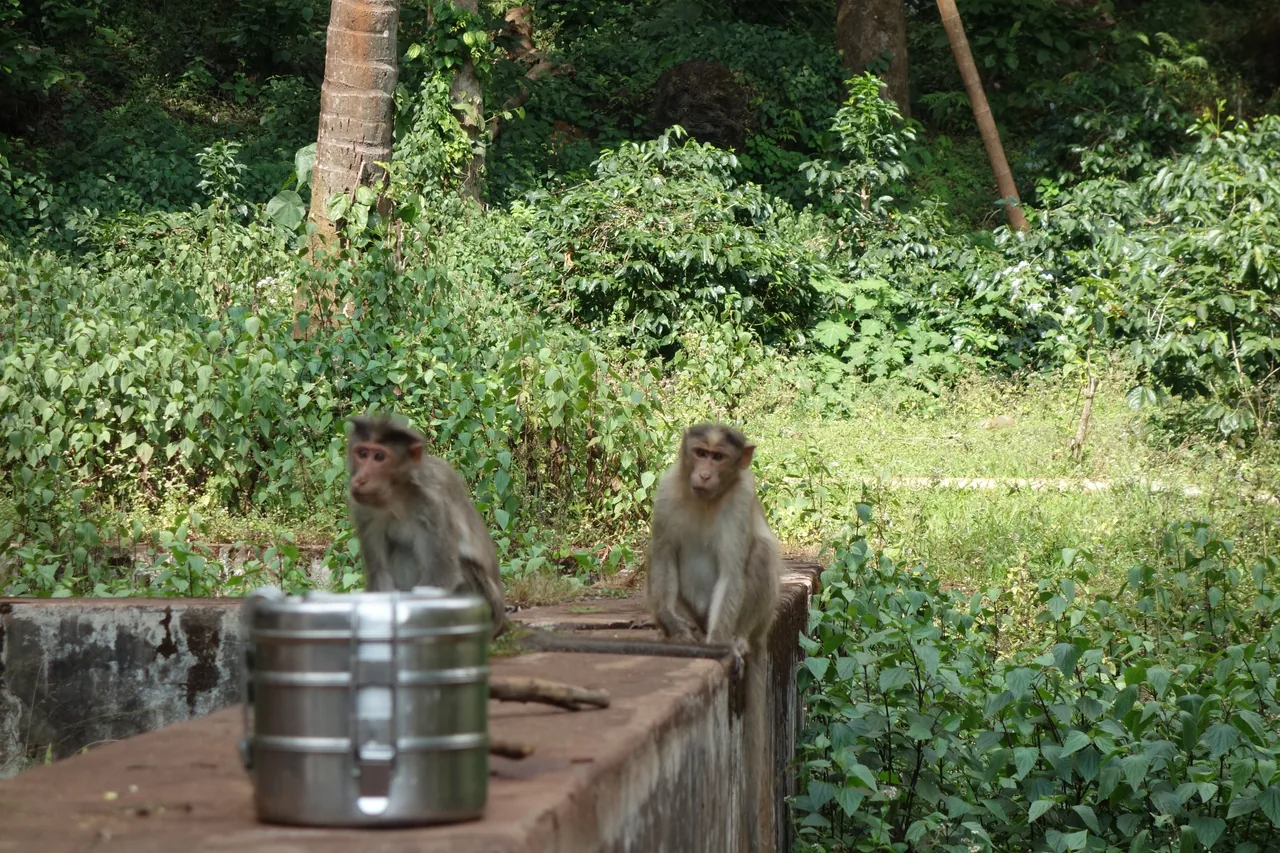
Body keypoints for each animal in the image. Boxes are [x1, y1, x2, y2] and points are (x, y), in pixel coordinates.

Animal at [346, 414, 506, 638]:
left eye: (379, 457)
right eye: (362, 453)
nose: (360, 479)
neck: (397, 499)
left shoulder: (433, 507)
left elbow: (441, 578)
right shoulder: (364, 512)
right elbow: (381, 576)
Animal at [645, 424, 782, 853]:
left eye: (719, 458)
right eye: (700, 452)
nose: (704, 474)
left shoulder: (740, 502)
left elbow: (732, 572)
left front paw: (720, 646)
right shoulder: (667, 490)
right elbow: (663, 552)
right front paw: (672, 626)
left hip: (758, 617)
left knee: (760, 551)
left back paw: (734, 639)